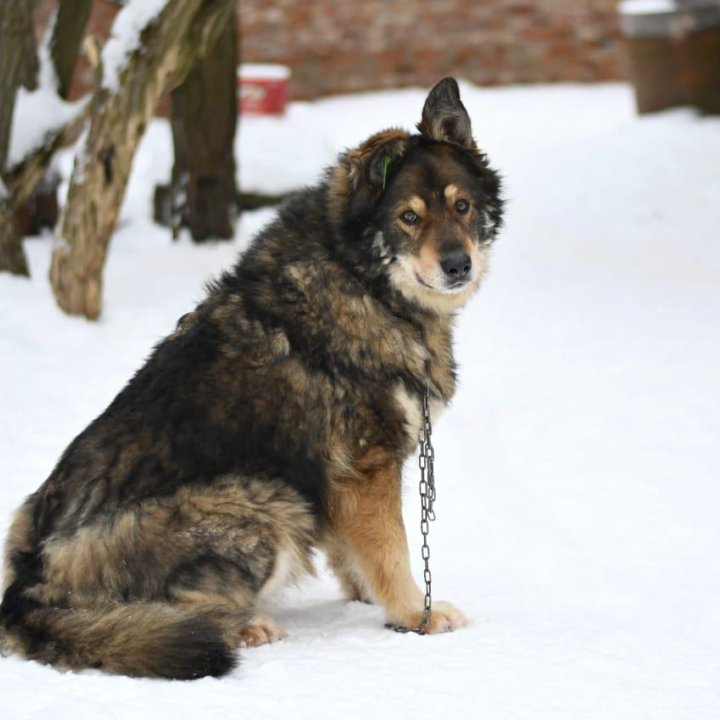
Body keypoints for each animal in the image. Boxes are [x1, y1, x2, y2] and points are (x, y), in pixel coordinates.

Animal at [0, 79, 504, 680]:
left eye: (462, 206)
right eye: (408, 217)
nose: (458, 265)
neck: (363, 281)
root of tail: (26, 591)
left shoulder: (342, 481)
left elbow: (355, 551)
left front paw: (366, 600)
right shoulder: (366, 465)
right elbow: (393, 550)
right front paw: (413, 615)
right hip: (266, 502)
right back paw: (241, 627)